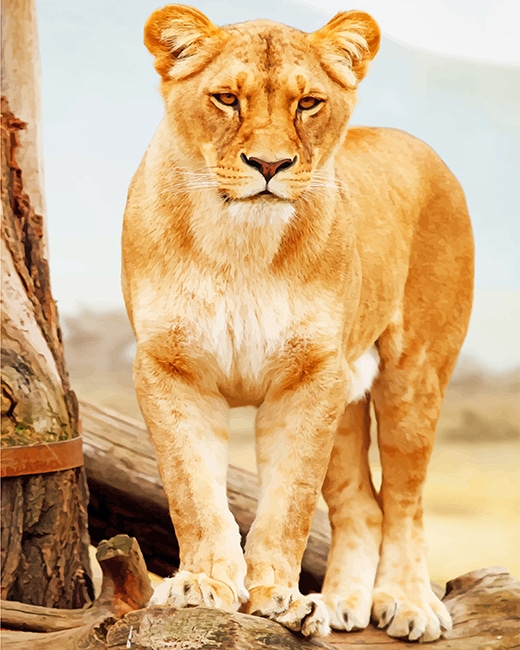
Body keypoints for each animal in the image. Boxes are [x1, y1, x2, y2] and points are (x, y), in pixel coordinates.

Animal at [121, 4, 474, 642]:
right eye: (226, 99)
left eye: (308, 103)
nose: (269, 165)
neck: (238, 242)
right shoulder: (170, 366)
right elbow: (192, 490)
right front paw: (202, 585)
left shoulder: (309, 376)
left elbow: (289, 502)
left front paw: (278, 598)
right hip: (348, 394)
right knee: (363, 504)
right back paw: (342, 604)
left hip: (413, 377)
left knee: (405, 500)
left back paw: (408, 602)